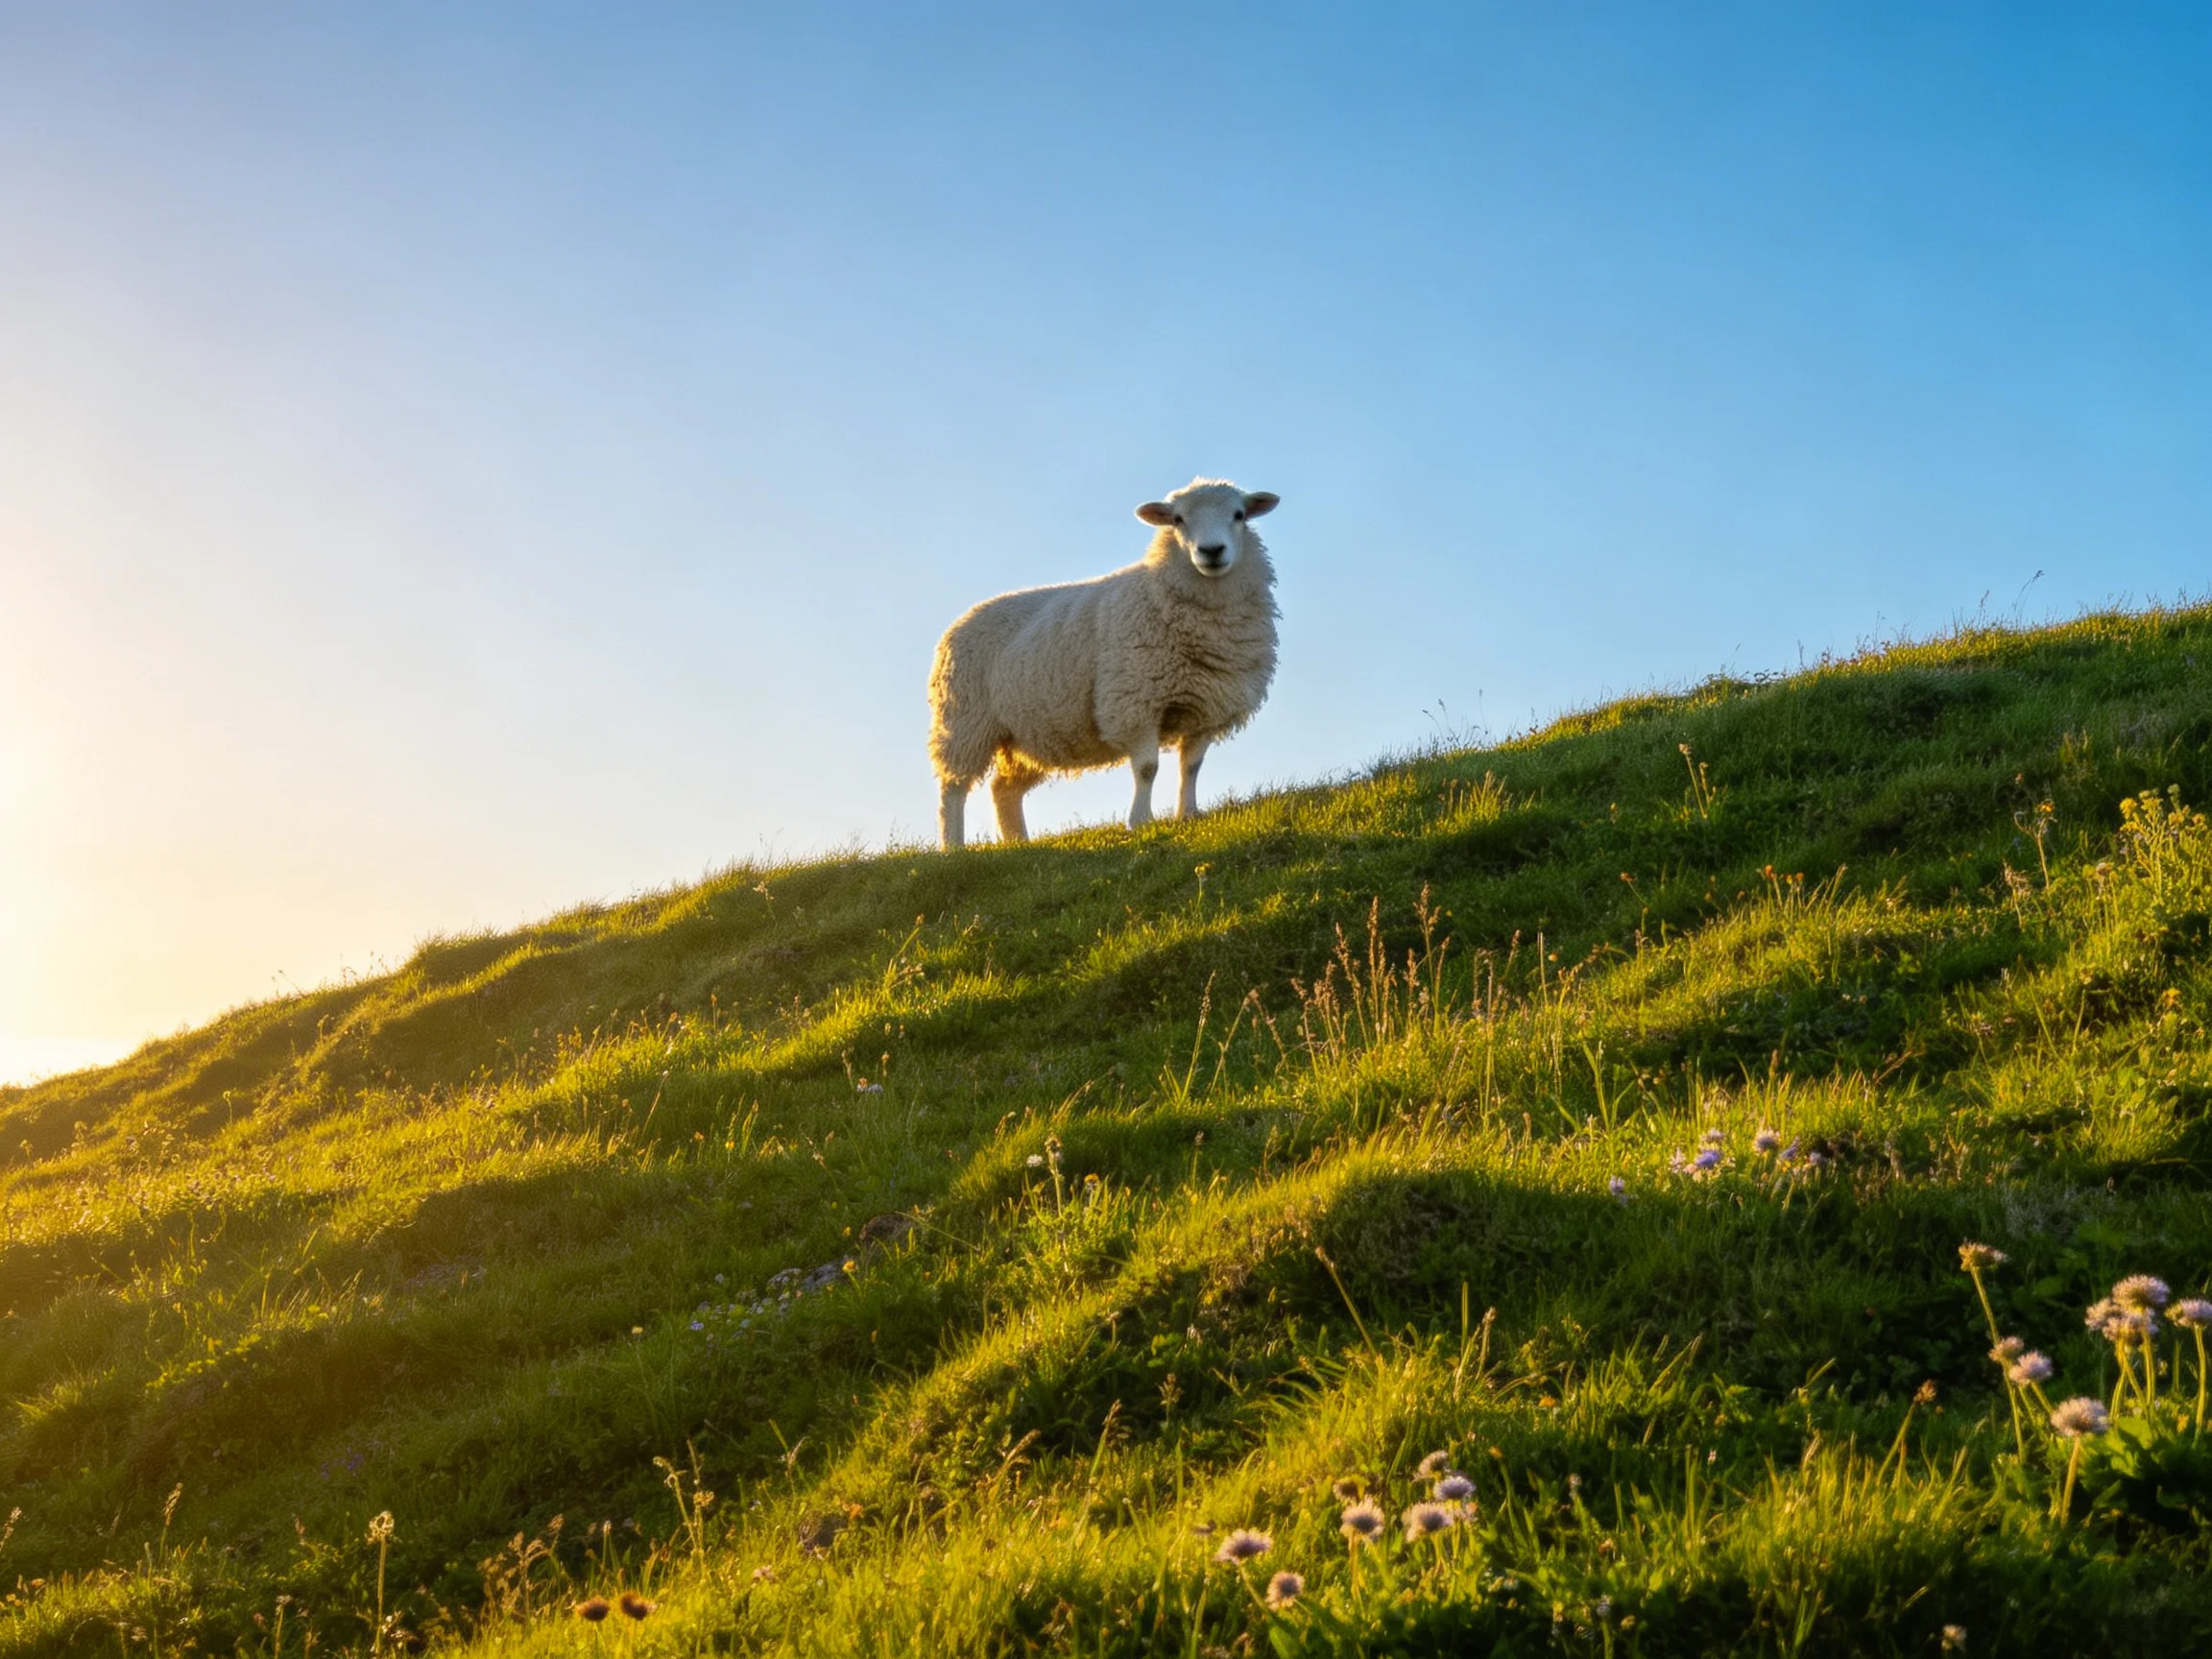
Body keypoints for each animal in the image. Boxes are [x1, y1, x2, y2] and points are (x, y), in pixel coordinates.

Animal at [928, 478, 1280, 851]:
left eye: (1239, 515)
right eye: (1178, 519)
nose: (1211, 551)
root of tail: (960, 621)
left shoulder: (1206, 707)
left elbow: (1192, 766)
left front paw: (1188, 815)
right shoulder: (1135, 702)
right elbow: (1147, 768)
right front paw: (1141, 822)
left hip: (1026, 731)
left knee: (1003, 789)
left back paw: (1018, 844)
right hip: (965, 721)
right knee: (953, 788)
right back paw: (953, 846)